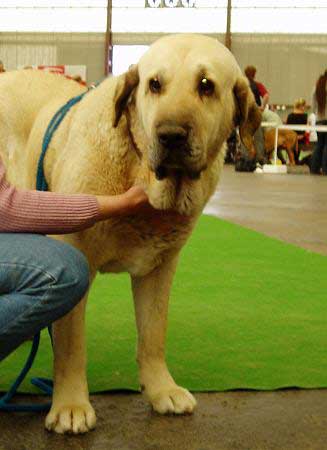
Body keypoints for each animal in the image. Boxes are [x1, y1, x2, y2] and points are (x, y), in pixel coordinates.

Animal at [0, 33, 262, 434]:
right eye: (155, 84)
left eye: (206, 85)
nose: (171, 135)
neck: (139, 168)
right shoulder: (78, 254)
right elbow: (71, 346)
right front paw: (71, 405)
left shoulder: (160, 267)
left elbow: (153, 335)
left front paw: (161, 390)